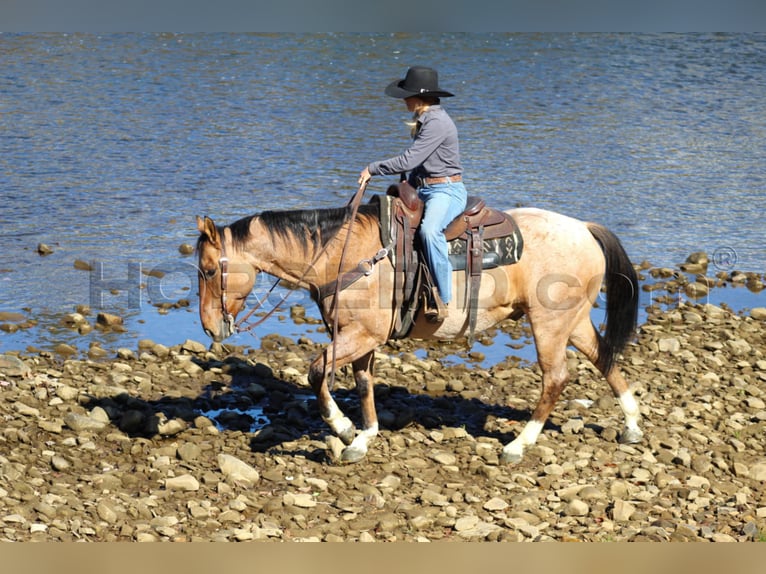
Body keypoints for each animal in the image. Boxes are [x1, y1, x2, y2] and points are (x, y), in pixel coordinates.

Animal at [195, 195, 644, 468]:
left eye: (210, 269)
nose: (209, 327)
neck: (347, 255)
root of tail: (583, 228)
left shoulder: (362, 336)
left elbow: (317, 371)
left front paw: (342, 428)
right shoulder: (358, 337)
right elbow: (363, 384)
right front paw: (362, 437)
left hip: (549, 324)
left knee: (556, 378)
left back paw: (518, 445)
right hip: (574, 321)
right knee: (605, 358)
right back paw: (632, 425)